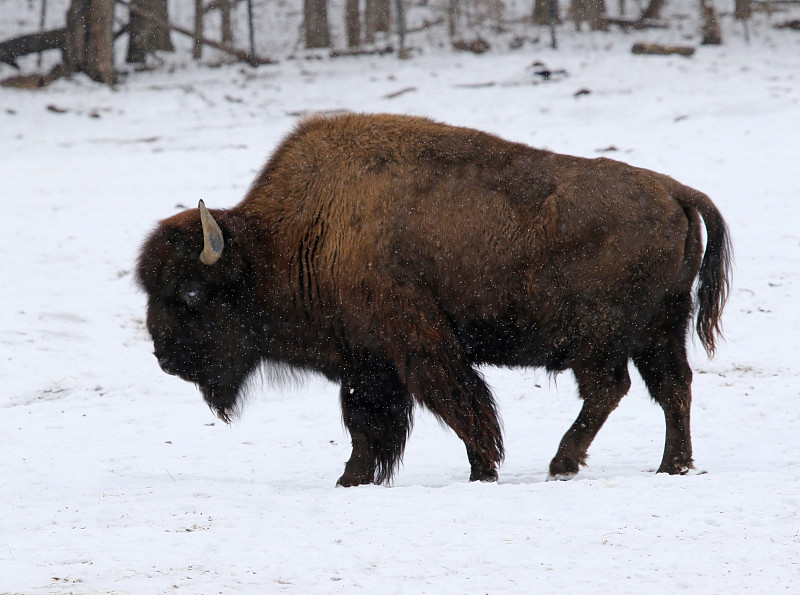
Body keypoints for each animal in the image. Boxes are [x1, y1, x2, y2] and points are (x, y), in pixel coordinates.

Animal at [138, 113, 732, 488]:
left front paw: (482, 468)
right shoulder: (366, 362)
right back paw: (673, 466)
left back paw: (563, 463)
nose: (163, 359)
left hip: (601, 336)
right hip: (660, 328)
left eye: (190, 291)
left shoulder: (415, 345)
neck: (287, 240)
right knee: (672, 387)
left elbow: (456, 403)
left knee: (611, 388)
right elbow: (367, 424)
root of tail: (674, 190)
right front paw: (351, 479)